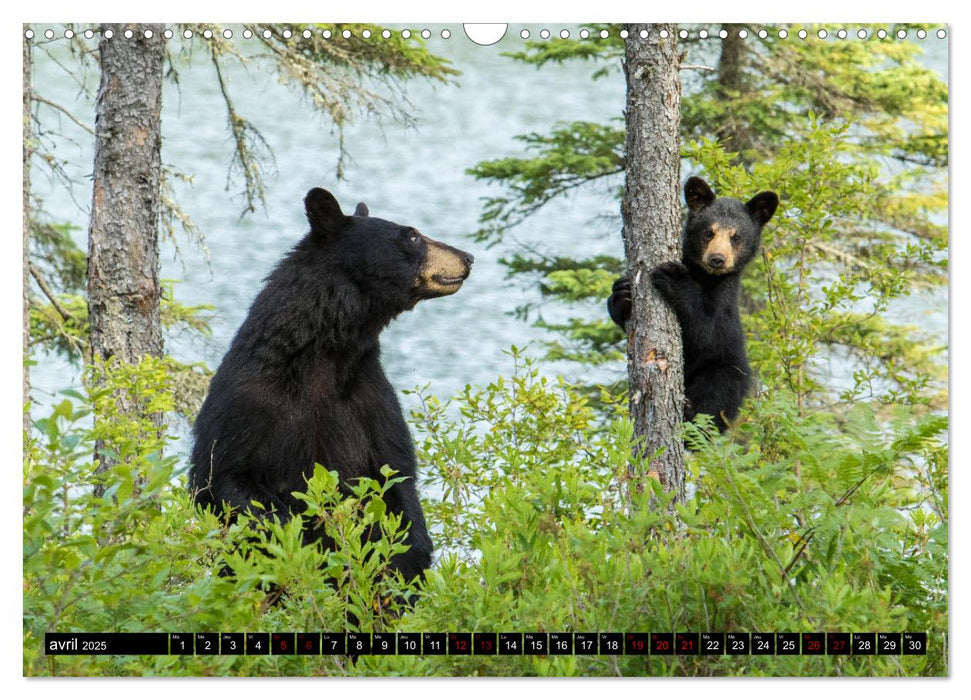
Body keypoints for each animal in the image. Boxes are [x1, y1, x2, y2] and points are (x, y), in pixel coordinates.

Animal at [190, 189, 474, 584]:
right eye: (412, 235)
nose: (468, 258)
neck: (326, 358)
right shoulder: (249, 400)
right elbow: (224, 476)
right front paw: (298, 542)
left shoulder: (370, 397)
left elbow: (396, 476)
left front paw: (408, 557)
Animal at [608, 176, 784, 432]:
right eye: (708, 232)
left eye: (735, 237)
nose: (717, 259)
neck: (704, 276)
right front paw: (621, 294)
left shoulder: (724, 301)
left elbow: (705, 330)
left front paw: (674, 278)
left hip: (728, 369)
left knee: (717, 393)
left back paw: (690, 412)